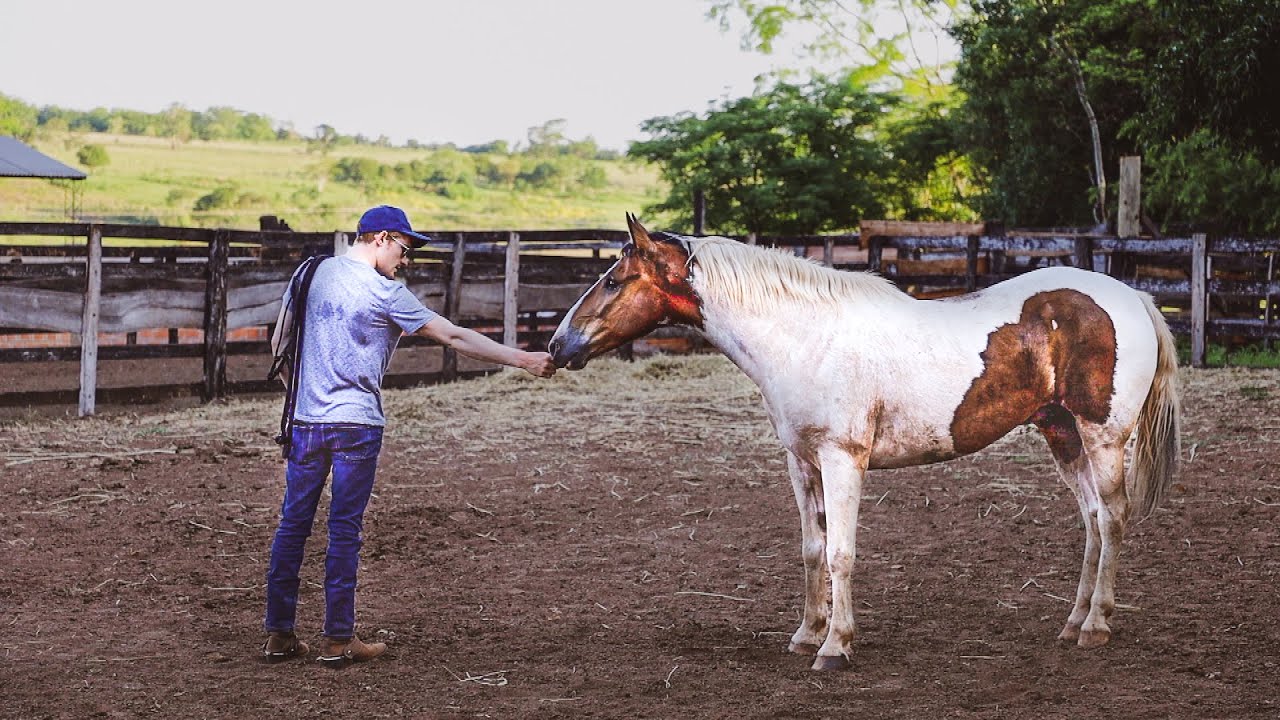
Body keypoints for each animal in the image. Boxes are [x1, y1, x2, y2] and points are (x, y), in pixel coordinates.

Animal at [548, 214, 1181, 671]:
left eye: (612, 280)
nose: (557, 345)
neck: (806, 337)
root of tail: (1131, 297)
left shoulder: (842, 460)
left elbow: (841, 553)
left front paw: (836, 647)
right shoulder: (801, 462)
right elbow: (811, 549)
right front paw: (807, 634)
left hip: (1103, 439)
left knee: (1113, 519)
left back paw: (1097, 626)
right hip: (1062, 434)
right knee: (1093, 521)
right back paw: (1073, 623)